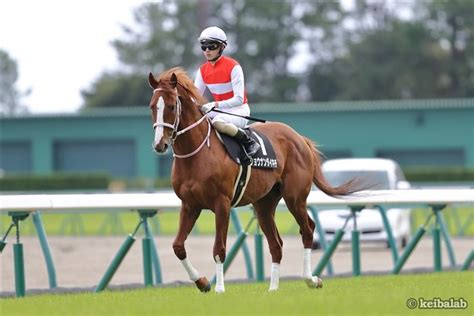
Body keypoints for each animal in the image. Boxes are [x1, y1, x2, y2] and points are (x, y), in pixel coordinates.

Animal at [148, 68, 360, 292]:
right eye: (152, 106)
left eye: (171, 106)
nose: (160, 144)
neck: (197, 154)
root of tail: (299, 138)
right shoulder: (190, 205)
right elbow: (178, 246)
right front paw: (203, 282)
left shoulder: (222, 204)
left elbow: (219, 249)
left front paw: (219, 289)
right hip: (264, 204)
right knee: (276, 244)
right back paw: (273, 288)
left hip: (295, 198)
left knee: (308, 229)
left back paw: (311, 279)